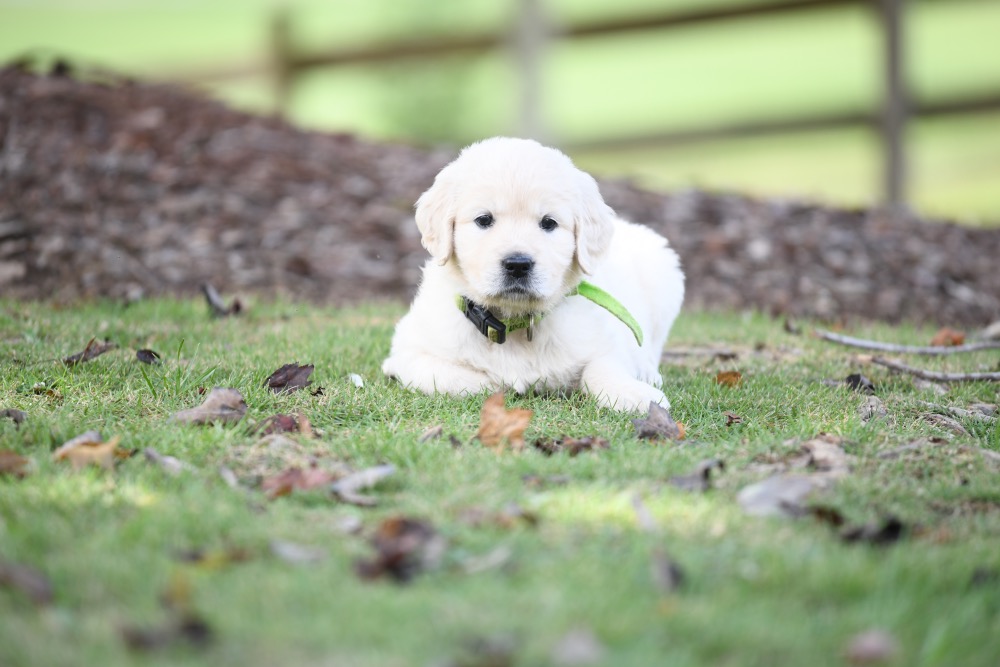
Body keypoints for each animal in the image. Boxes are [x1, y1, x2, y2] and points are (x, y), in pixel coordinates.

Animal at [378, 136, 684, 412]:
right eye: (483, 219)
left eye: (548, 223)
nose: (517, 265)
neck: (513, 323)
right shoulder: (408, 351)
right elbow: (465, 380)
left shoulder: (607, 340)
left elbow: (602, 368)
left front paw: (637, 396)